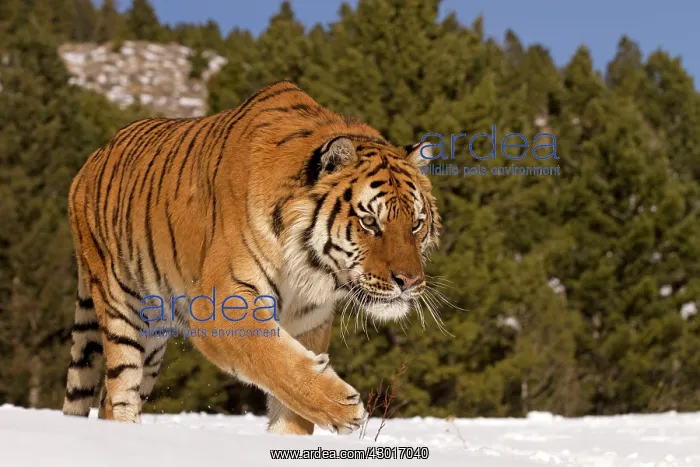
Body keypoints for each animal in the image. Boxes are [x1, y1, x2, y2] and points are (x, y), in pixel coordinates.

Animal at [62, 79, 441, 435]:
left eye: (416, 224)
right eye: (369, 222)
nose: (410, 281)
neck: (308, 268)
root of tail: (91, 160)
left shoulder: (308, 321)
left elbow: (291, 403)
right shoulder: (219, 305)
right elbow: (273, 358)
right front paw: (343, 407)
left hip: (153, 340)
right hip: (122, 310)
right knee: (117, 395)